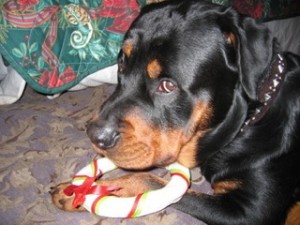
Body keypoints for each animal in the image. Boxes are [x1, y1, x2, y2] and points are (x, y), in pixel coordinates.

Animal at [51, 0, 300, 224]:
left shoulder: (250, 211)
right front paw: (73, 189)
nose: (95, 136)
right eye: (121, 65)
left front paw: (85, 190)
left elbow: (148, 179)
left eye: (168, 85)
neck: (251, 120)